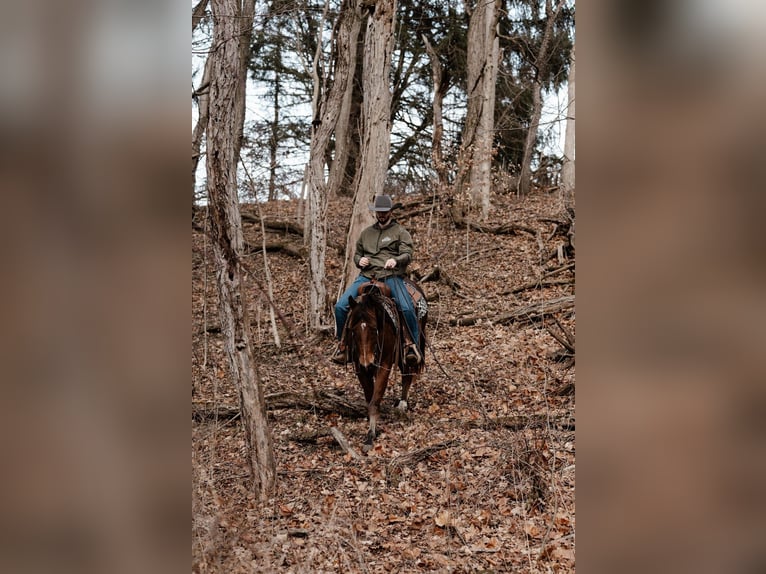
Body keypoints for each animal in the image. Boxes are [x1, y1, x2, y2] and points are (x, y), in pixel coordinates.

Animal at [343, 280, 427, 450]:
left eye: (374, 328)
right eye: (353, 329)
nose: (367, 362)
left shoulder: (385, 365)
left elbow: (375, 400)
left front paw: (370, 437)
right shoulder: (360, 368)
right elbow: (370, 398)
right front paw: (374, 428)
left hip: (405, 352)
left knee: (407, 374)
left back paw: (403, 404)